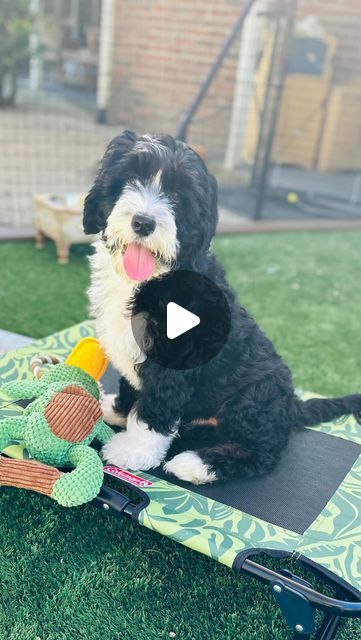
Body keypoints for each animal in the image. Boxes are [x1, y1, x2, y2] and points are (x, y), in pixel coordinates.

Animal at [82, 132, 360, 488]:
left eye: (176, 196)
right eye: (130, 178)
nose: (143, 222)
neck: (150, 276)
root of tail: (290, 408)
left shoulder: (174, 361)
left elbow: (155, 408)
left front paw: (133, 450)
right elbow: (132, 387)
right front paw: (117, 409)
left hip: (255, 396)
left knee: (262, 454)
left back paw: (197, 464)